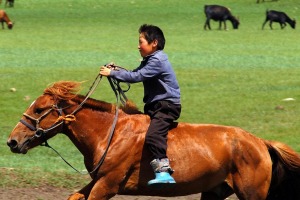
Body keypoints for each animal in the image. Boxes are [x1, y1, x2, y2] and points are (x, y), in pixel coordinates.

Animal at [5, 80, 300, 199]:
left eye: (39, 109)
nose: (12, 141)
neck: (110, 133)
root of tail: (260, 142)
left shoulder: (108, 184)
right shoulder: (98, 181)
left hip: (251, 192)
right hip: (214, 191)